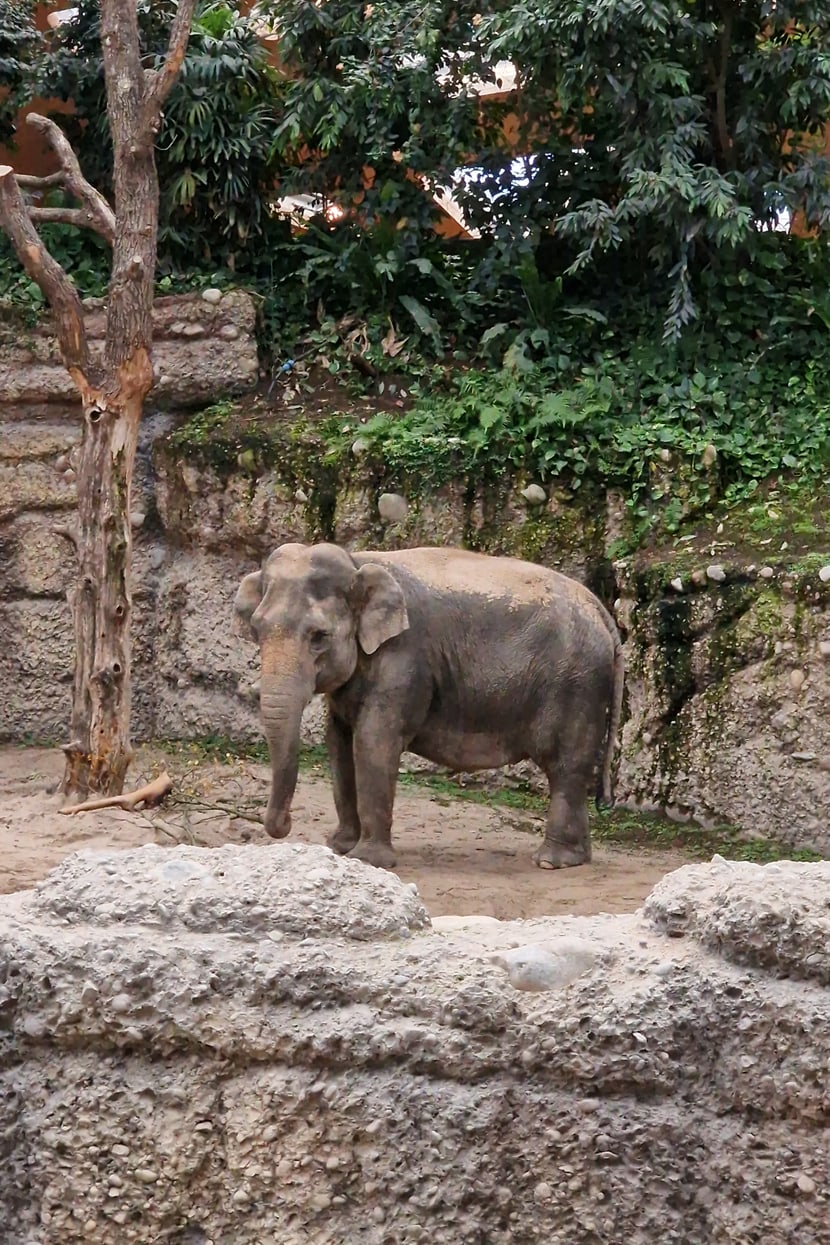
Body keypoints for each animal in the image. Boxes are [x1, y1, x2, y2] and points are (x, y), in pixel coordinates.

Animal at [234, 542, 624, 871]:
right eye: (256, 629)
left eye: (319, 637)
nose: (283, 826)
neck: (357, 561)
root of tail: (603, 613)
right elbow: (339, 743)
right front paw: (339, 848)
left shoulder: (404, 657)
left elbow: (373, 743)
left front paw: (368, 860)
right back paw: (576, 858)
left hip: (576, 684)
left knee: (565, 766)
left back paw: (552, 861)